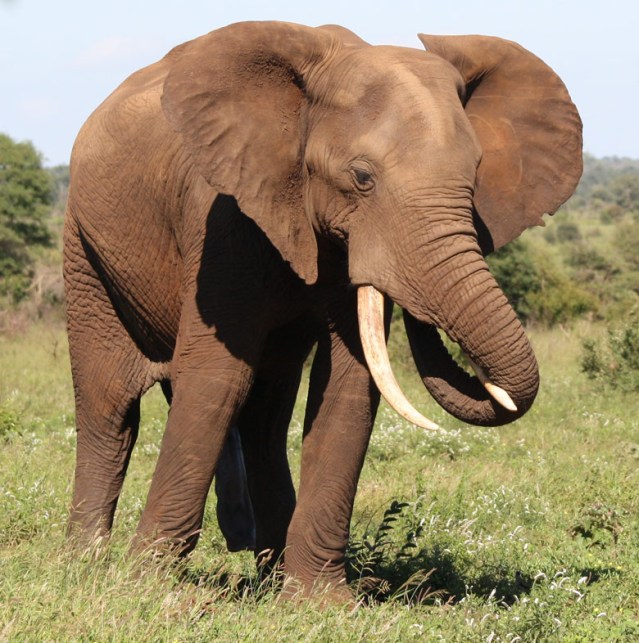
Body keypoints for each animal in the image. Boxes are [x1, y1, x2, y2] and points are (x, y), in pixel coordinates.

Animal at [63, 21, 582, 601]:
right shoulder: (222, 216)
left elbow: (349, 387)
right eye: (362, 177)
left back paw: (269, 574)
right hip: (83, 247)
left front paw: (320, 603)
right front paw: (150, 589)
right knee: (110, 405)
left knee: (264, 417)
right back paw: (83, 563)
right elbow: (215, 377)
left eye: (474, 176)